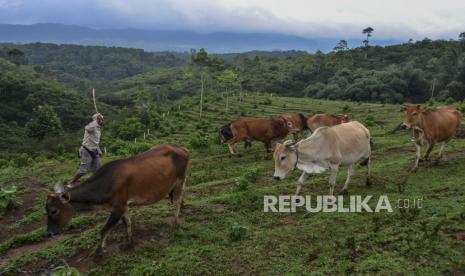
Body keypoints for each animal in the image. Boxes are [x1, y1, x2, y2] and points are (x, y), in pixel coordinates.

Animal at [44, 144, 188, 256]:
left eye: (54, 211)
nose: (50, 233)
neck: (105, 183)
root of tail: (182, 148)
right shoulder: (123, 206)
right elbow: (127, 223)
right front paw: (129, 242)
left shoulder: (118, 207)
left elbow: (104, 230)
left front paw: (98, 251)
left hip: (180, 180)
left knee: (178, 200)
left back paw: (176, 221)